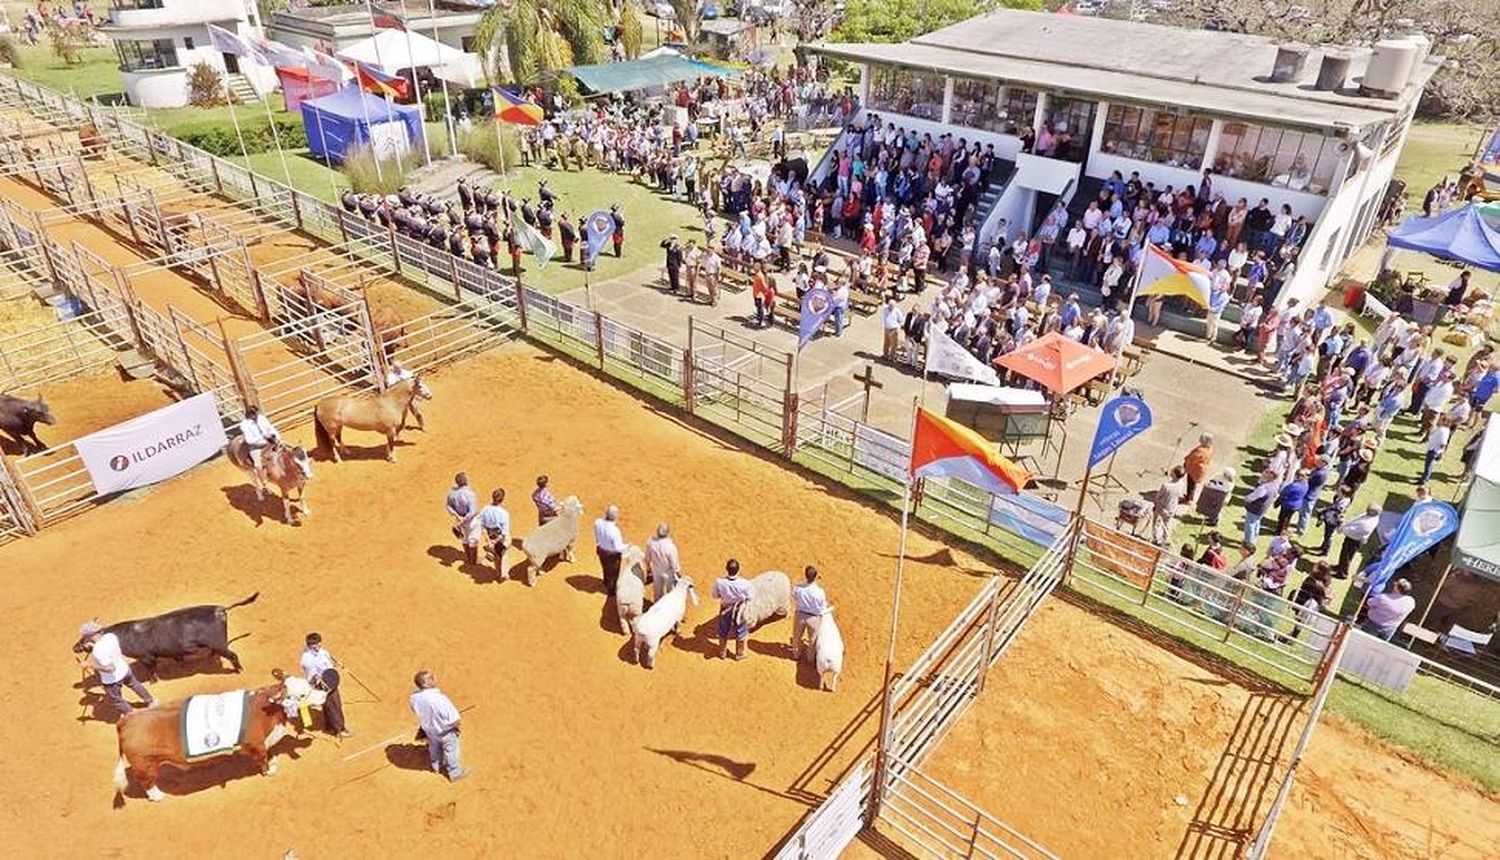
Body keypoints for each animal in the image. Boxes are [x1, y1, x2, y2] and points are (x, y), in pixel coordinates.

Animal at [73, 591, 261, 678]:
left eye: (84, 641)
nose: (74, 647)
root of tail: (220, 609)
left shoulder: (146, 656)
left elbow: (151, 669)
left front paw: (153, 679)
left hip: (219, 643)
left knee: (233, 655)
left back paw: (238, 670)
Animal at [114, 675, 328, 804]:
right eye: (302, 695)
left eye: (309, 684)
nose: (325, 694)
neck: (268, 711)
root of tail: (126, 720)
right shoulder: (255, 744)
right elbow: (262, 758)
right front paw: (269, 770)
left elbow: (270, 753)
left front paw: (274, 761)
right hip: (145, 765)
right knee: (147, 782)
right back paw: (157, 796)